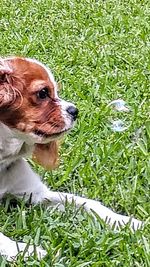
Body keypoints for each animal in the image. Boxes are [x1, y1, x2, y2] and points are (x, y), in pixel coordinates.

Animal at [0, 57, 142, 262]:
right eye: (43, 93)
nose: (75, 110)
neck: (3, 160)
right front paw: (24, 250)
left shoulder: (37, 194)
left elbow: (85, 203)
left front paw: (124, 221)